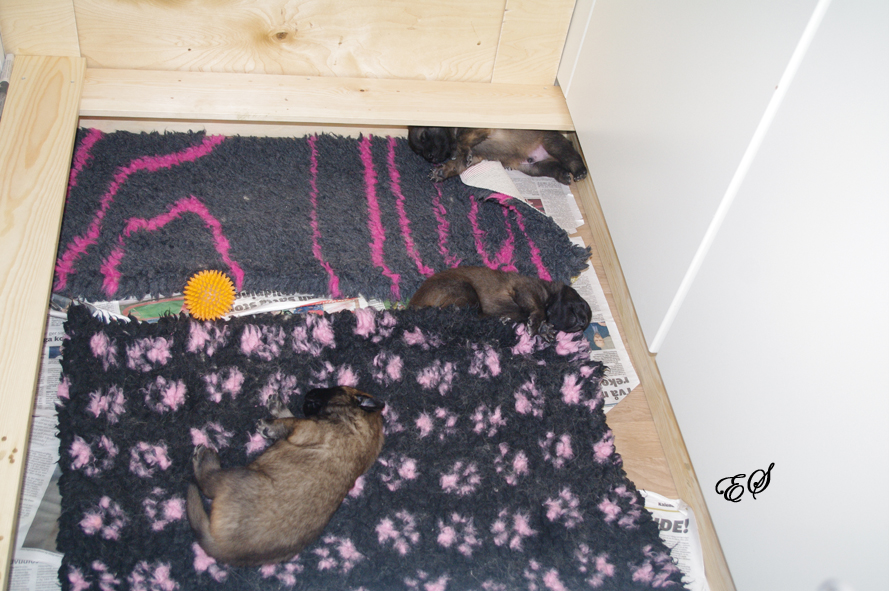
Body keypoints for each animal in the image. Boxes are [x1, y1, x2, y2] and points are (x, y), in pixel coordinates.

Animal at [186, 386, 385, 566]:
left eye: (332, 389)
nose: (309, 392)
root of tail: (222, 549)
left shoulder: (307, 429)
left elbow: (292, 421)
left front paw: (269, 425)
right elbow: (290, 416)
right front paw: (277, 406)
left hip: (240, 477)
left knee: (208, 482)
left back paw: (205, 458)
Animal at [407, 127, 587, 185]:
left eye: (424, 136)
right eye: (419, 152)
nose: (429, 156)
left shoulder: (477, 130)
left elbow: (461, 141)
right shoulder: (476, 155)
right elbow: (457, 163)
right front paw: (442, 171)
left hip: (552, 143)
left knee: (571, 157)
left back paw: (579, 171)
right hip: (534, 167)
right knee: (555, 168)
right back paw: (563, 175)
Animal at [408, 266, 592, 338]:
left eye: (582, 327)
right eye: (581, 305)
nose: (582, 323)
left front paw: (543, 328)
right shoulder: (525, 289)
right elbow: (537, 309)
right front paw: (537, 324)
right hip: (465, 290)